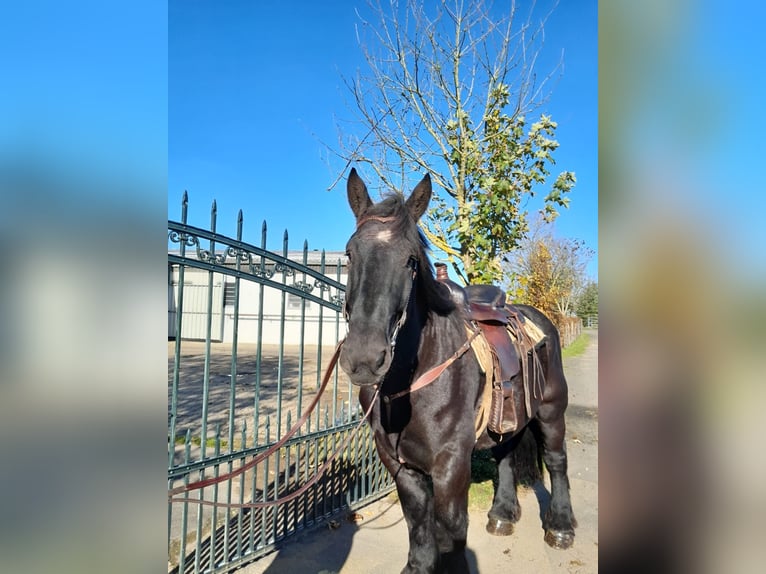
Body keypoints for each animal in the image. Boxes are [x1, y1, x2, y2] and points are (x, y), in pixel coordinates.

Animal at [340, 169, 580, 572]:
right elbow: (419, 528)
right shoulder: (399, 464)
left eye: (411, 260)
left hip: (551, 410)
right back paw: (502, 514)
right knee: (506, 455)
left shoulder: (451, 465)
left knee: (556, 460)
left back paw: (561, 525)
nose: (364, 358)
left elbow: (451, 532)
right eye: (348, 254)